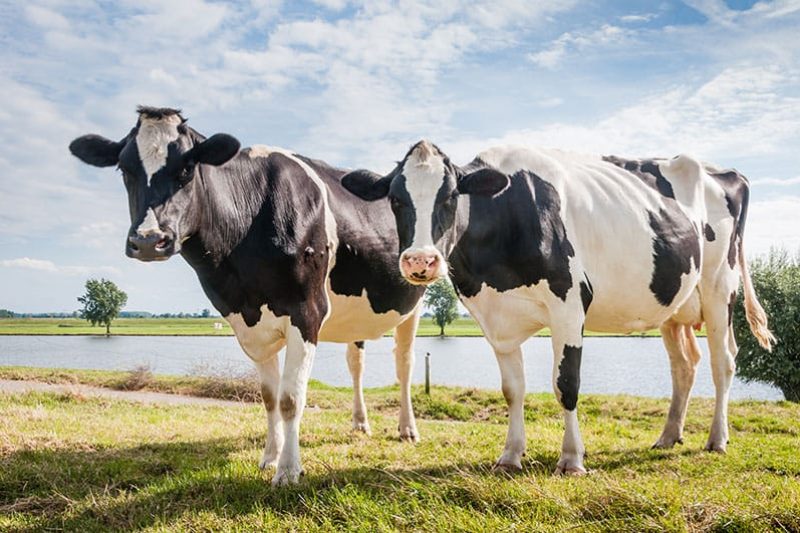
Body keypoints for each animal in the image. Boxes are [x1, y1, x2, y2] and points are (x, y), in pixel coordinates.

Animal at [68, 107, 426, 485]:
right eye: (124, 169)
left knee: (404, 364)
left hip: (415, 302)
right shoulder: (248, 321)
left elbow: (290, 398)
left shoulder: (307, 311)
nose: (149, 240)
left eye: (187, 168)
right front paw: (270, 457)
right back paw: (359, 423)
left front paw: (288, 470)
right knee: (355, 363)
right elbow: (269, 397)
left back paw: (407, 429)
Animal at [341, 140, 775, 474]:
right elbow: (512, 389)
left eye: (450, 197)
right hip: (674, 304)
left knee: (723, 362)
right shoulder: (495, 319)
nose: (420, 261)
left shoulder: (569, 305)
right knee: (684, 365)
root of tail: (723, 171)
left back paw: (717, 439)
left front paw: (572, 459)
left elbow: (566, 385)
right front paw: (510, 455)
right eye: (396, 199)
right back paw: (668, 436)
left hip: (718, 288)